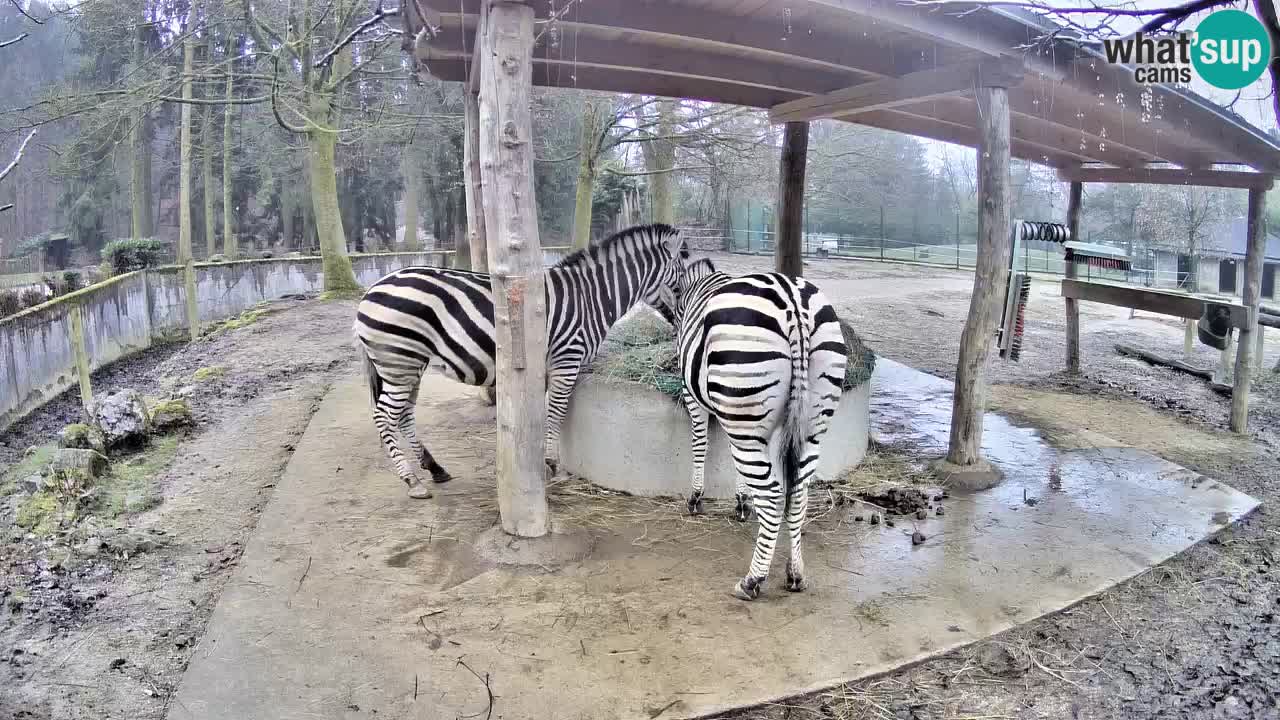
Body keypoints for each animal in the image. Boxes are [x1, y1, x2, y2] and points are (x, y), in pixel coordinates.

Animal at [350, 221, 691, 497]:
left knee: (404, 415)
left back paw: (434, 468)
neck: (591, 297)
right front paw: (552, 465)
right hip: (399, 361)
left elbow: (546, 414)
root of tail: (370, 291)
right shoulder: (567, 359)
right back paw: (411, 480)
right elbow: (555, 412)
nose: (679, 327)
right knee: (384, 416)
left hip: (410, 365)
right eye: (686, 275)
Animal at [675, 254, 844, 597]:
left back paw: (752, 580)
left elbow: (700, 443)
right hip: (810, 424)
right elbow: (735, 463)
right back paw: (795, 574)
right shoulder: (739, 418)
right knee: (798, 493)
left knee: (774, 495)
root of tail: (794, 305)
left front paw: (696, 497)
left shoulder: (694, 397)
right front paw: (741, 502)